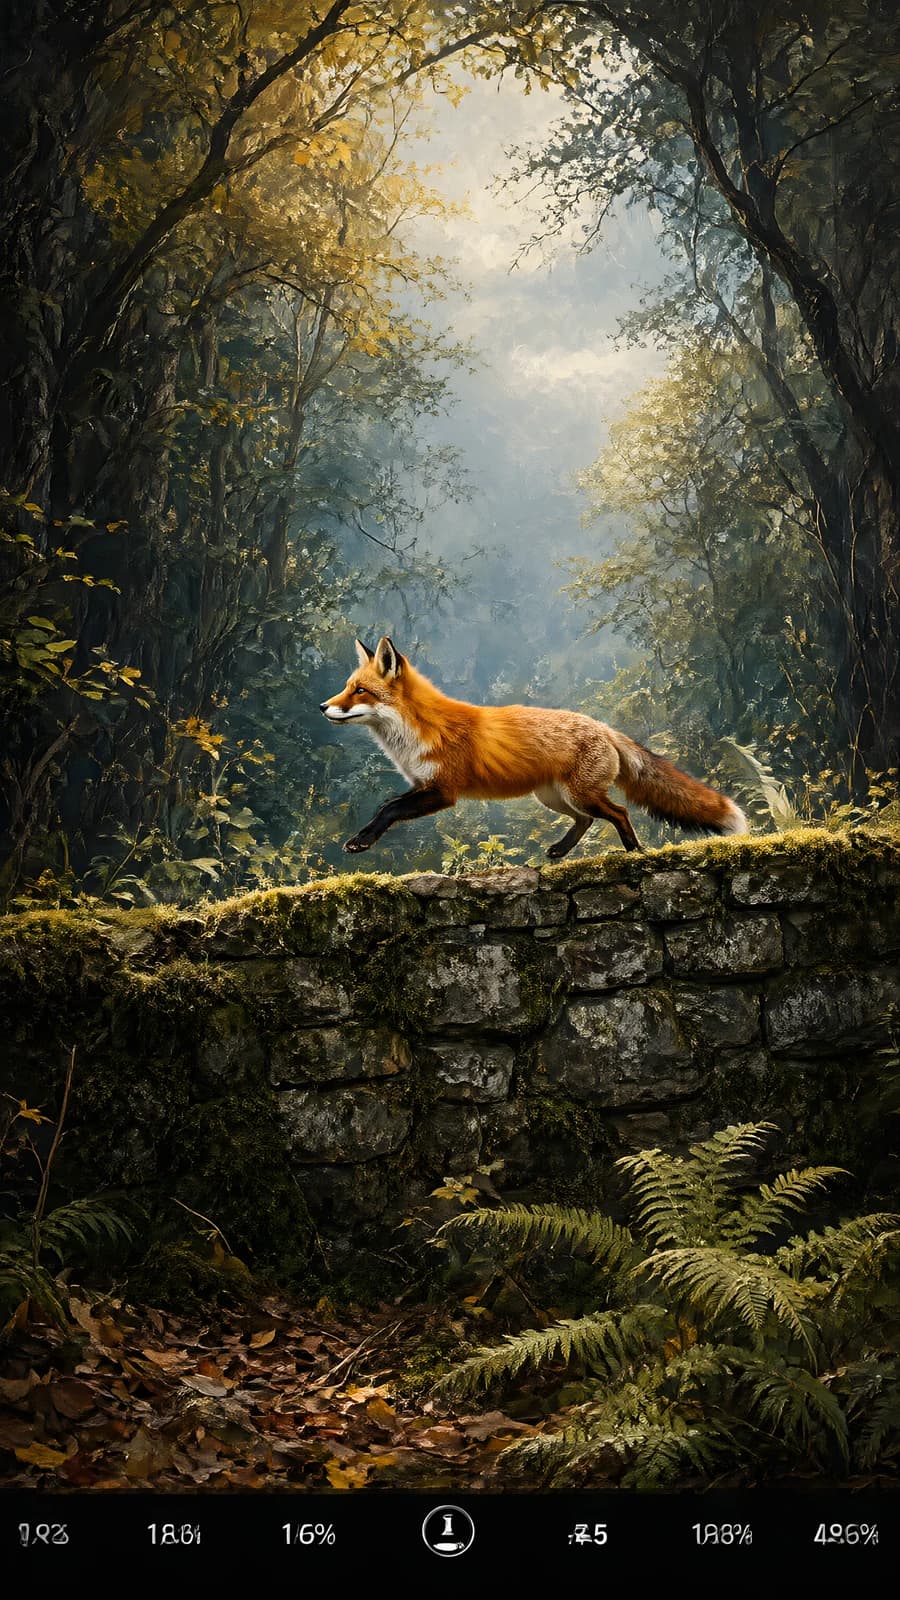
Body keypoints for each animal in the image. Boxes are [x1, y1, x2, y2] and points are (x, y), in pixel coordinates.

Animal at [320, 636, 747, 858]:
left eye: (360, 691)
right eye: (348, 686)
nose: (323, 707)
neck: (418, 730)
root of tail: (605, 727)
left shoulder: (443, 790)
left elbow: (389, 809)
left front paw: (362, 840)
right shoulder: (422, 786)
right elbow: (388, 806)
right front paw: (363, 837)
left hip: (580, 794)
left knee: (619, 812)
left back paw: (633, 851)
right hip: (554, 798)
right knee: (587, 820)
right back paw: (560, 850)